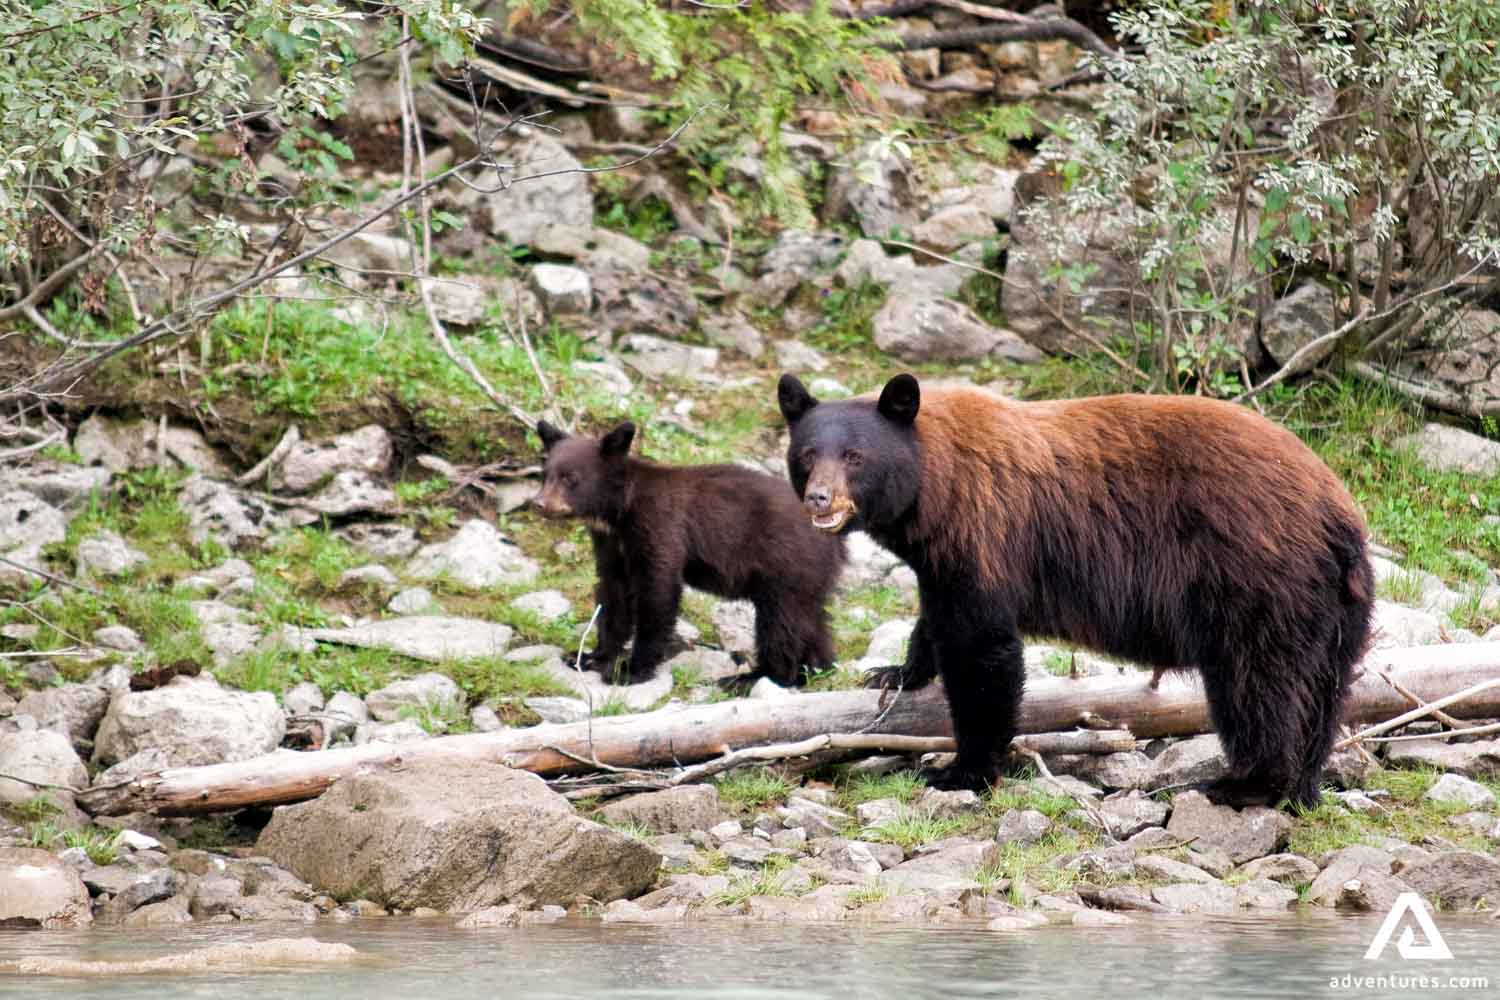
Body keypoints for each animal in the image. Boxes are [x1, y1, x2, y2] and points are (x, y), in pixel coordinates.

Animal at [533, 419, 845, 686]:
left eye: (570, 478)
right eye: (545, 475)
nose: (539, 504)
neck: (619, 511)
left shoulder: (659, 526)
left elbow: (657, 592)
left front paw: (631, 669)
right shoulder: (611, 545)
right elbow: (613, 596)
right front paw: (590, 656)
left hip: (787, 564)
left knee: (781, 623)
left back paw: (755, 677)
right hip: (808, 577)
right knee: (812, 620)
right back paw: (816, 669)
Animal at [777, 372, 1374, 808]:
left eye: (854, 456)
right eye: (806, 454)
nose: (819, 498)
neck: (935, 484)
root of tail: (1336, 514)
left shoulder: (986, 533)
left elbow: (981, 650)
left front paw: (963, 769)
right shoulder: (943, 559)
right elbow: (939, 617)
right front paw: (897, 670)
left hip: (1255, 580)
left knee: (1257, 687)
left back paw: (1247, 784)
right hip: (1334, 609)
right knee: (1322, 694)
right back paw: (1302, 786)